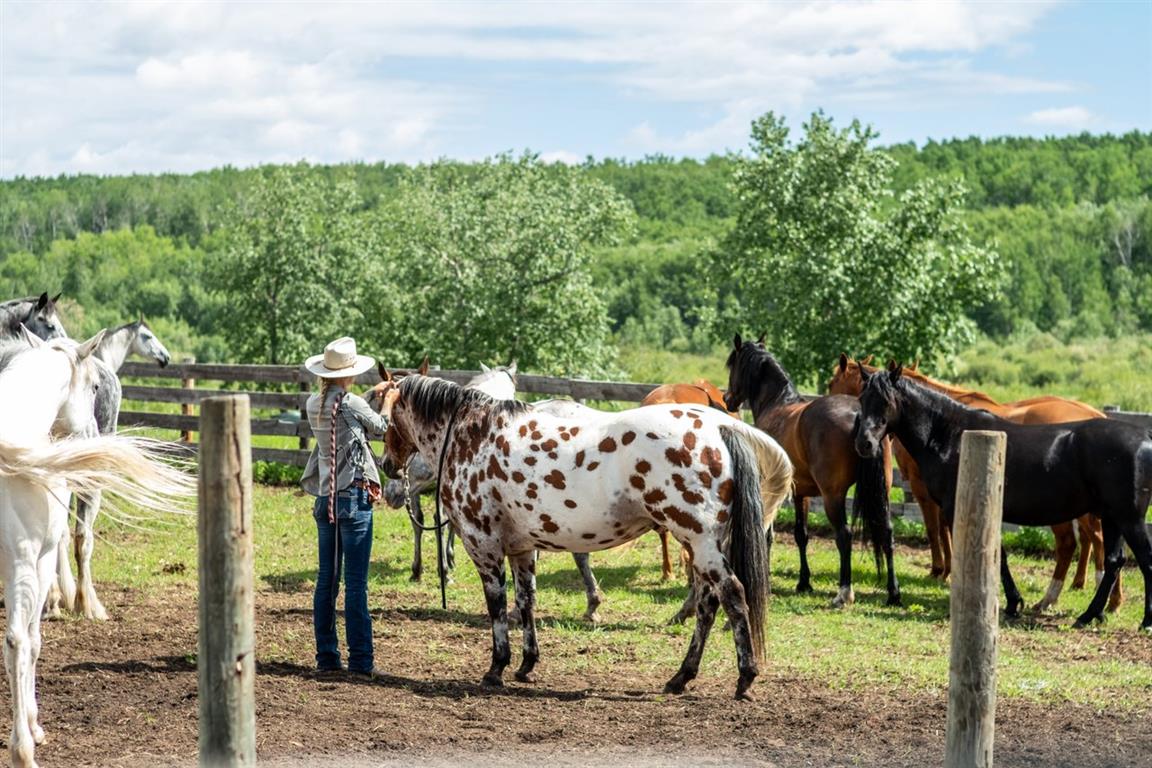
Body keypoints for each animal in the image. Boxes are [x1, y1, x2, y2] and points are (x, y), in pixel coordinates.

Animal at [0, 331, 193, 768]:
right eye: (92, 387)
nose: (92, 432)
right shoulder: (36, 561)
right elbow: (31, 641)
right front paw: (32, 728)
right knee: (17, 641)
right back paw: (22, 751)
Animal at [718, 336, 898, 607]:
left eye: (733, 365)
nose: (727, 398)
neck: (778, 403)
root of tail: (857, 413)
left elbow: (771, 533)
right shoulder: (801, 492)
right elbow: (801, 535)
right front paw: (804, 582)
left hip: (833, 496)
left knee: (844, 536)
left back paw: (844, 593)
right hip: (882, 492)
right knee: (886, 533)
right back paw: (893, 593)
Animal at [857, 363, 1152, 635]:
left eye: (886, 401)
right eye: (862, 399)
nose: (865, 444)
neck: (950, 434)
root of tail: (1144, 439)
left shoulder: (957, 509)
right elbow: (1001, 554)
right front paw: (1013, 603)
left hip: (1128, 518)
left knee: (1144, 560)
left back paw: (1144, 621)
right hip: (1112, 517)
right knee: (1114, 562)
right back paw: (1090, 615)